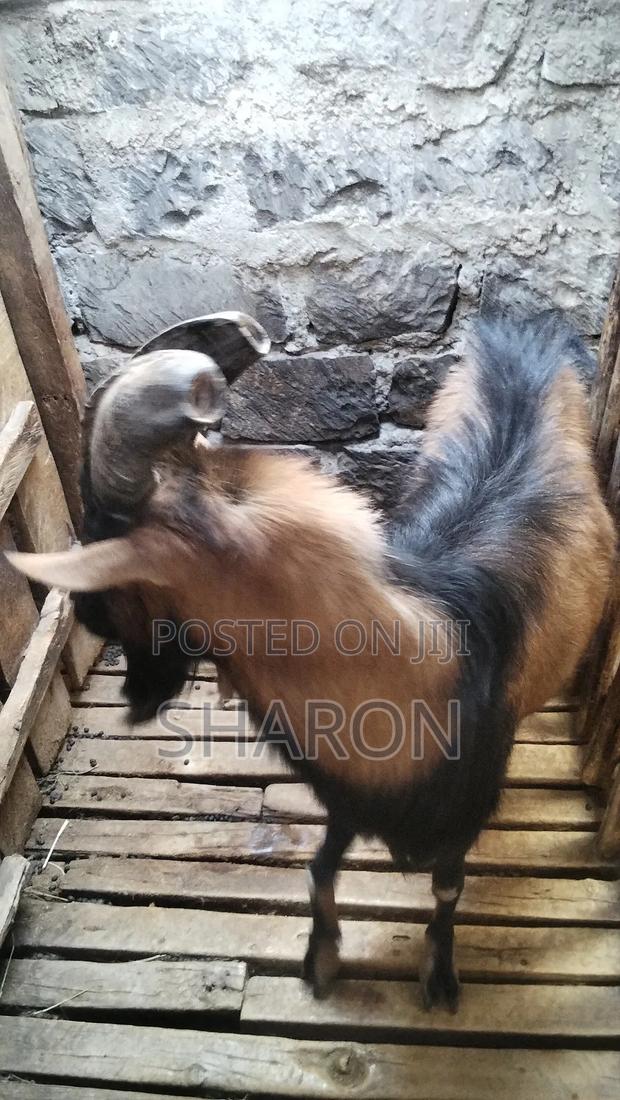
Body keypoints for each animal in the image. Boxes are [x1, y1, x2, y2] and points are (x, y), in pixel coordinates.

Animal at [9, 311, 615, 1010]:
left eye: (107, 555)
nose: (88, 620)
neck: (409, 674)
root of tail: (527, 328)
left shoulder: (460, 808)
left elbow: (446, 889)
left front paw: (439, 978)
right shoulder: (347, 795)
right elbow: (320, 869)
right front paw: (320, 962)